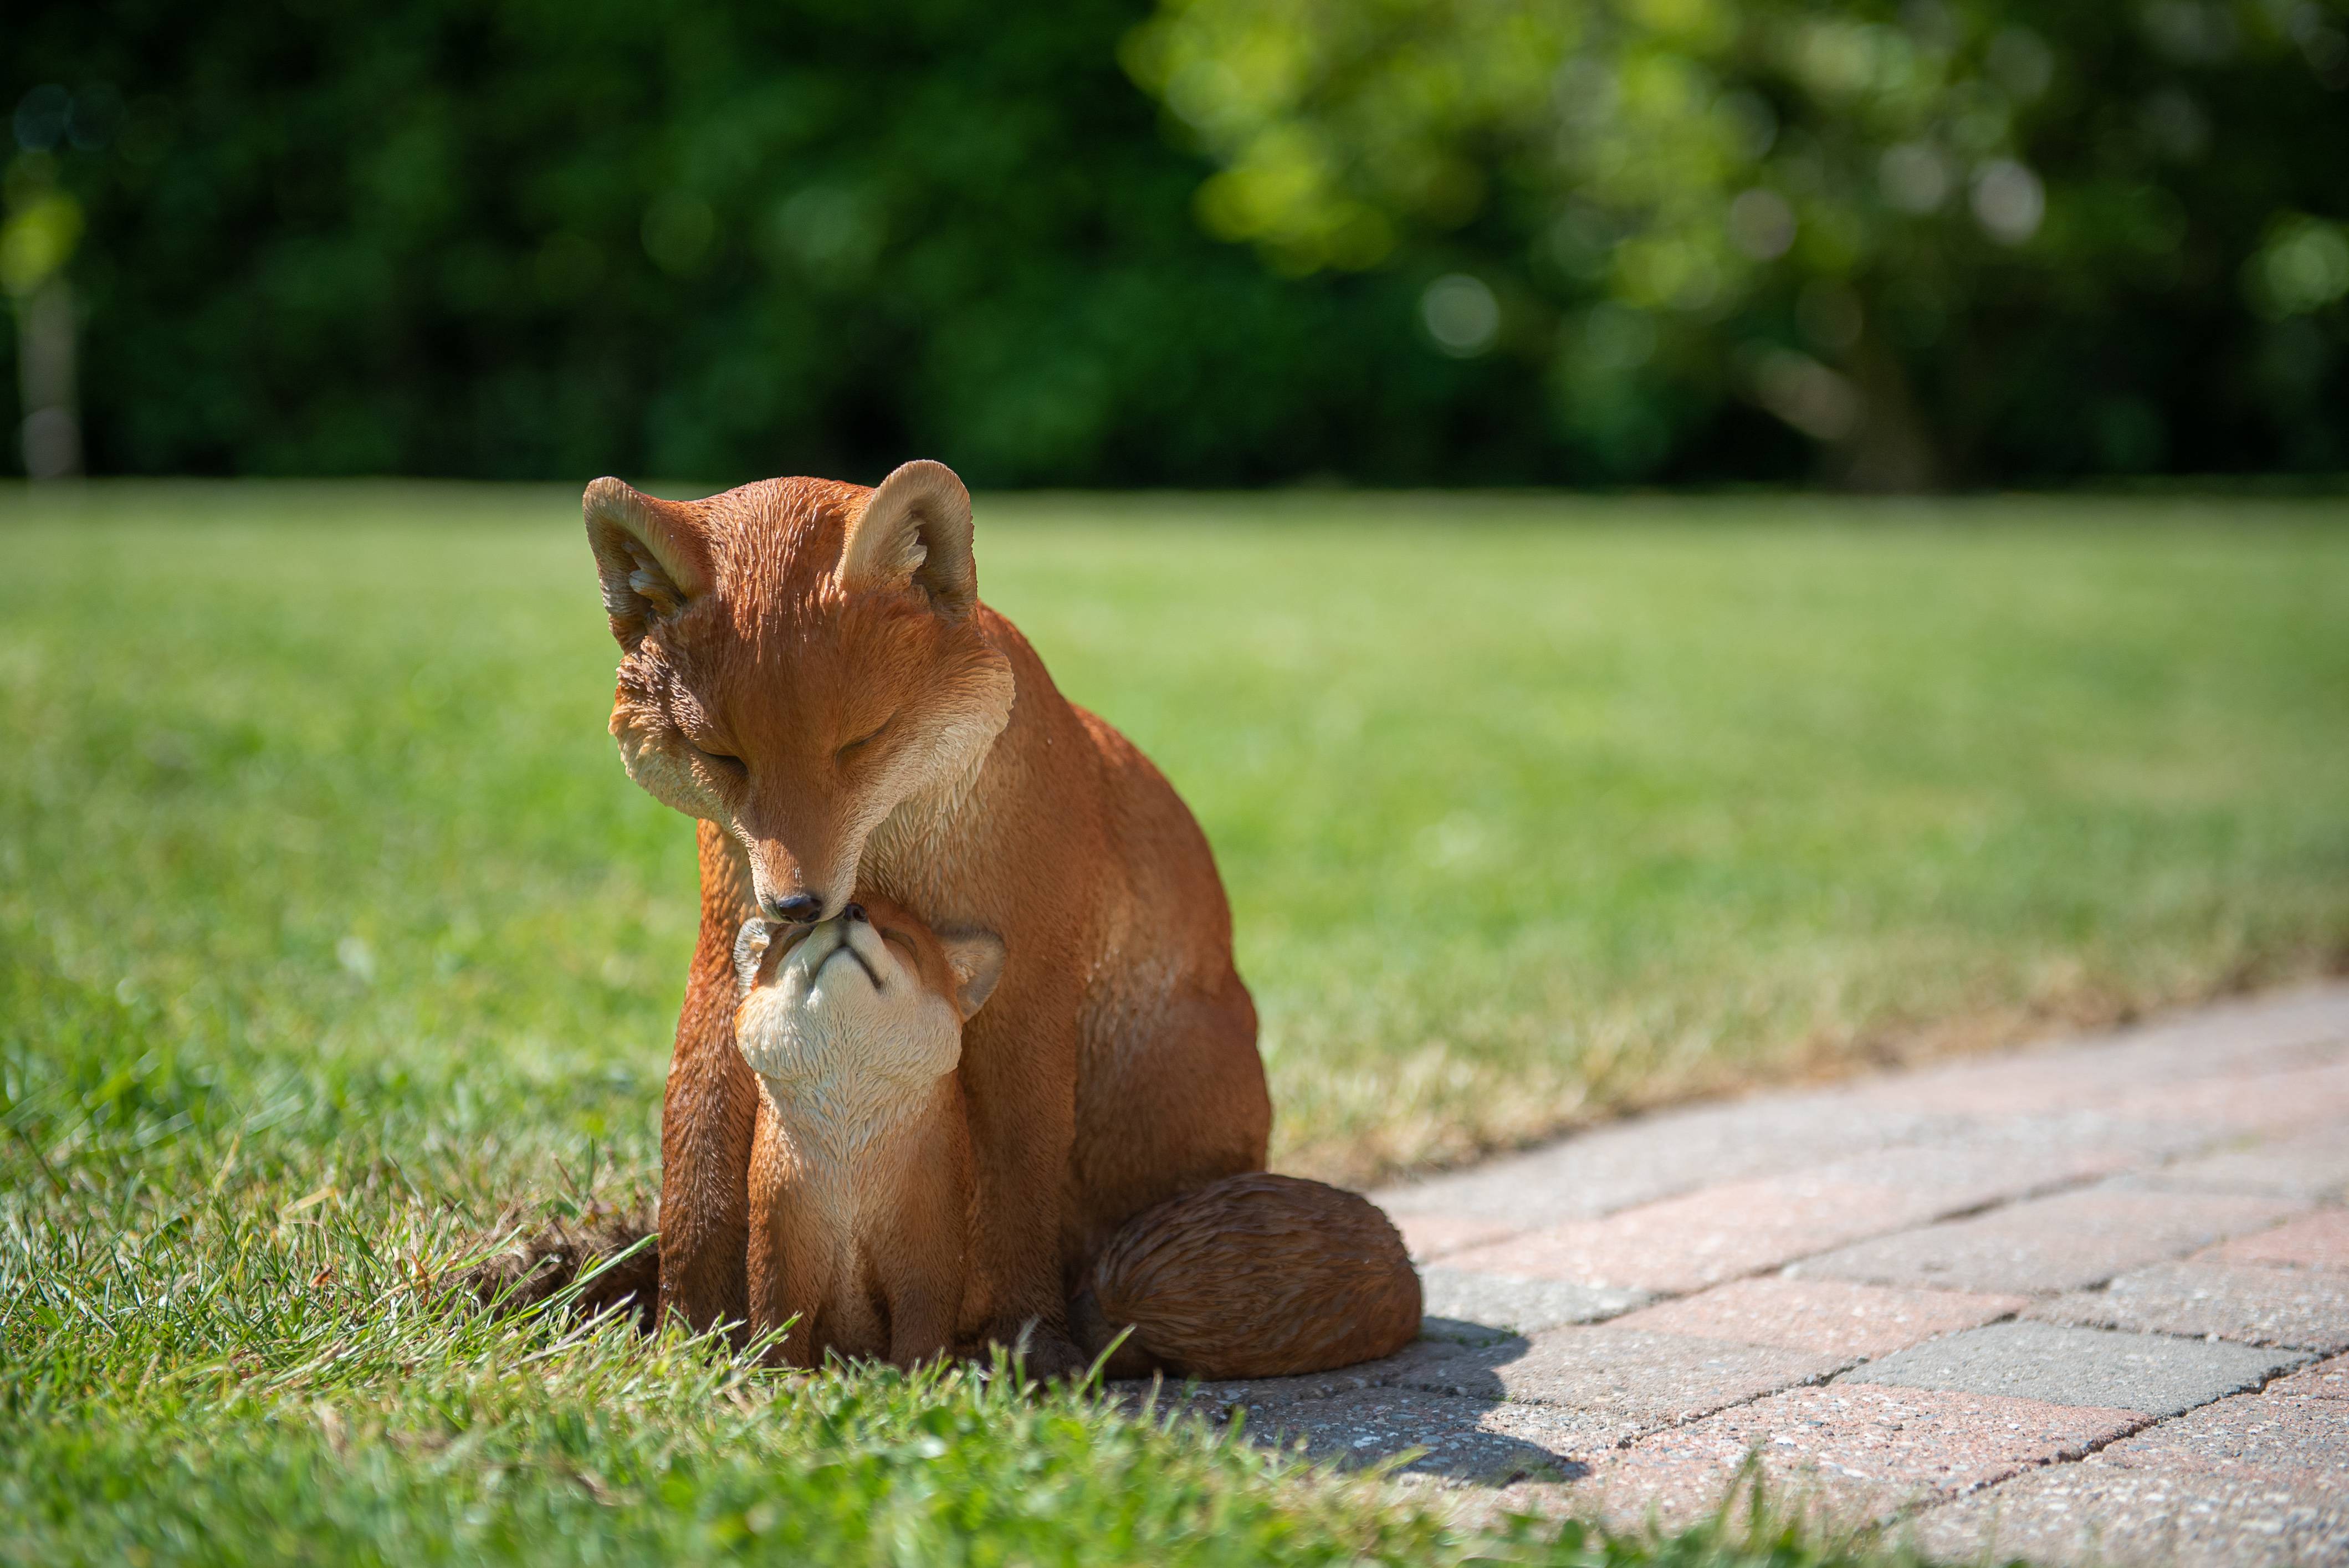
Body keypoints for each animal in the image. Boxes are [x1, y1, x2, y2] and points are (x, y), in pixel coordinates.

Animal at [583, 459, 1278, 1375]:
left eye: (859, 741)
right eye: (722, 756)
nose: (800, 905)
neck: (889, 859)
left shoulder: (1027, 986)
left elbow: (1016, 1180)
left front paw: (1027, 1344)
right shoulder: (724, 946)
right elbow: (694, 1167)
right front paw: (687, 1346)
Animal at [731, 892, 1423, 1377]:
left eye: (900, 937)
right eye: (799, 932)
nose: (845, 910)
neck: (851, 1184)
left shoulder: (929, 1235)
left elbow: (923, 1323)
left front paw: (910, 1382)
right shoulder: (780, 1225)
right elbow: (774, 1316)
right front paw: (770, 1382)